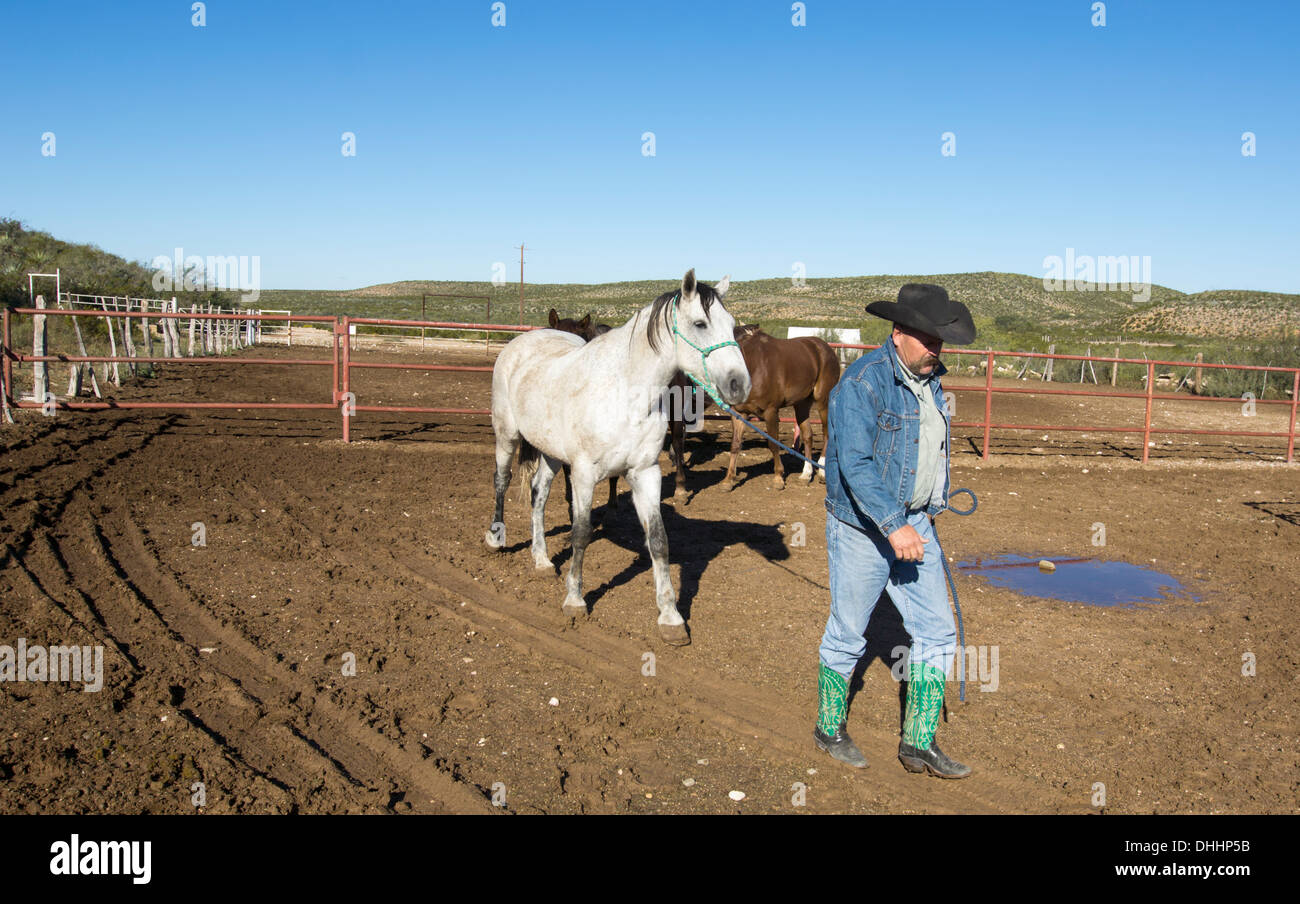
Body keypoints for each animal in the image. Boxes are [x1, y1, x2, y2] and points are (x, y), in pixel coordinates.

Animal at [486, 270, 750, 645]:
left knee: (539, 495)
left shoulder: (645, 473)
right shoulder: (583, 475)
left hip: (551, 453)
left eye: (731, 325)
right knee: (502, 481)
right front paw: (575, 599)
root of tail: (520, 343)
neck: (626, 394)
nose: (740, 384)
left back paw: (541, 560)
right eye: (700, 324)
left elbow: (658, 540)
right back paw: (496, 538)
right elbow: (581, 533)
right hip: (507, 435)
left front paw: (671, 617)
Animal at [722, 324, 840, 490]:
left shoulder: (771, 411)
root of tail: (825, 348)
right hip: (802, 404)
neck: (752, 367)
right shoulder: (738, 413)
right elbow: (735, 444)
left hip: (823, 400)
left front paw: (778, 478)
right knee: (808, 435)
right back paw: (806, 474)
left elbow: (773, 443)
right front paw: (728, 480)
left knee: (826, 433)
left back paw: (823, 472)